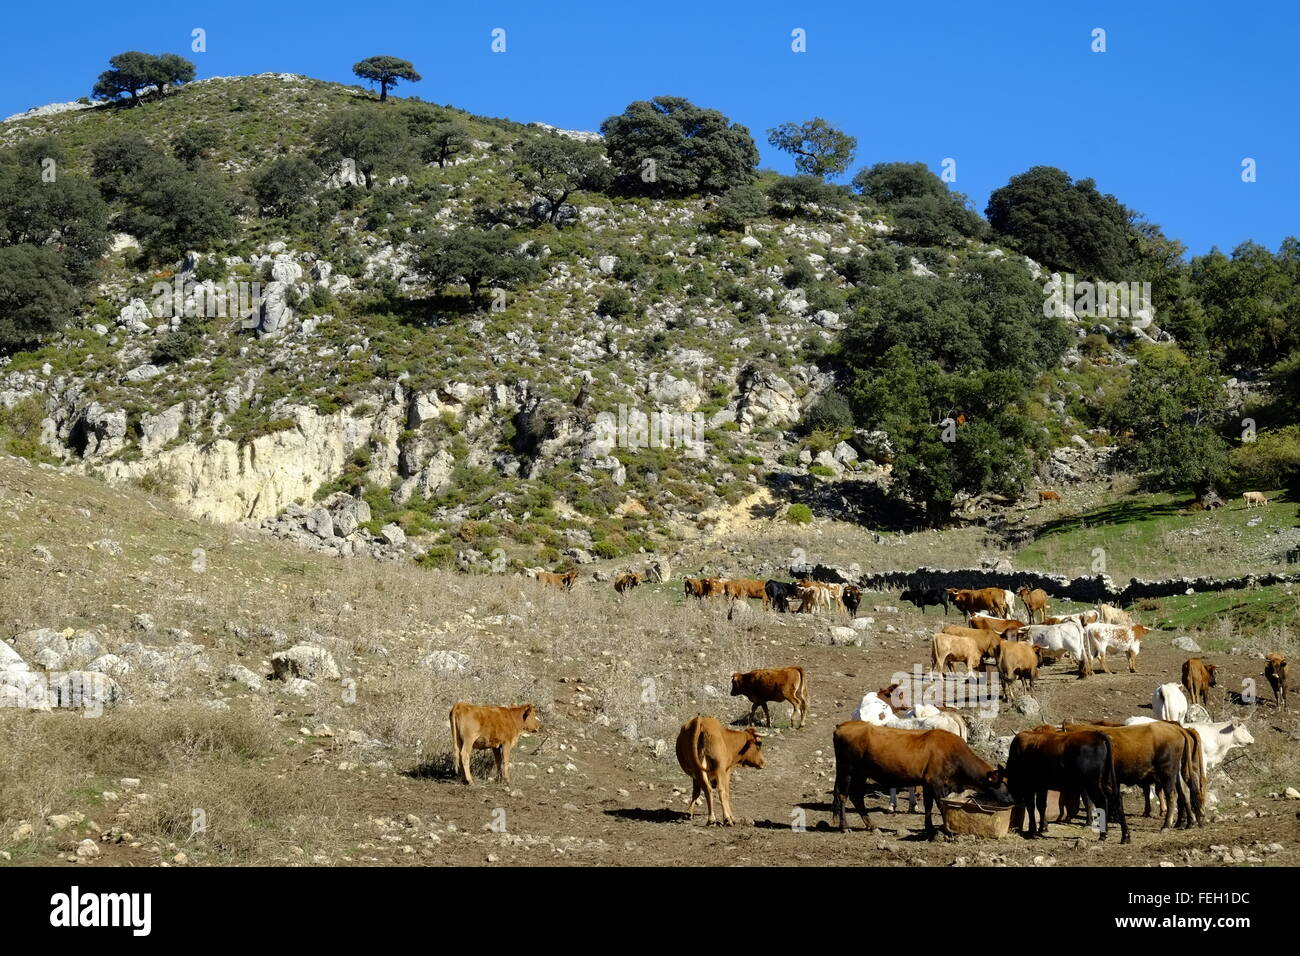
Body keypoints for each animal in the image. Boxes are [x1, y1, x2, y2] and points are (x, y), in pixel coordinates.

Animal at [832, 723, 1003, 837]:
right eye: (1003, 783)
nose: (1009, 800)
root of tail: (841, 726)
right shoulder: (936, 783)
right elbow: (941, 805)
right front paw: (946, 831)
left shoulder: (927, 783)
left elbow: (928, 805)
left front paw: (930, 829)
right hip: (847, 771)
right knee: (842, 795)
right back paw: (844, 827)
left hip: (860, 774)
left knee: (856, 797)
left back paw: (872, 826)